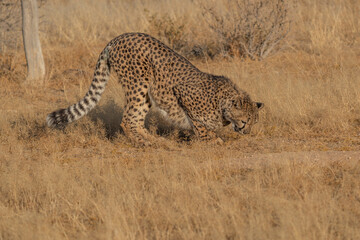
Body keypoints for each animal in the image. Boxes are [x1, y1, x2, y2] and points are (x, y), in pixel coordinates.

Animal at [46, 32, 262, 145]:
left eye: (254, 122)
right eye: (245, 120)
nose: (246, 132)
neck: (222, 105)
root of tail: (119, 37)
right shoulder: (183, 94)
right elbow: (198, 124)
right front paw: (209, 139)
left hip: (146, 94)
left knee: (136, 119)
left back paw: (154, 139)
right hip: (138, 84)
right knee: (127, 119)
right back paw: (142, 142)